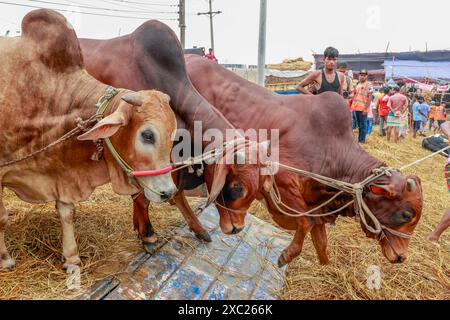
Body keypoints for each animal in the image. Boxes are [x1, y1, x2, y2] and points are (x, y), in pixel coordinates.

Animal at [0, 9, 178, 270]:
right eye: (147, 135)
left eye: (174, 135)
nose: (169, 193)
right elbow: (2, 218)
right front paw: (5, 259)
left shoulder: (60, 173)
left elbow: (66, 212)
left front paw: (71, 258)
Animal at [182, 54, 422, 264]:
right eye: (405, 215)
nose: (402, 257)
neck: (333, 150)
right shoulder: (282, 183)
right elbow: (305, 222)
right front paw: (287, 256)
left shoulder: (315, 202)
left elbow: (320, 239)